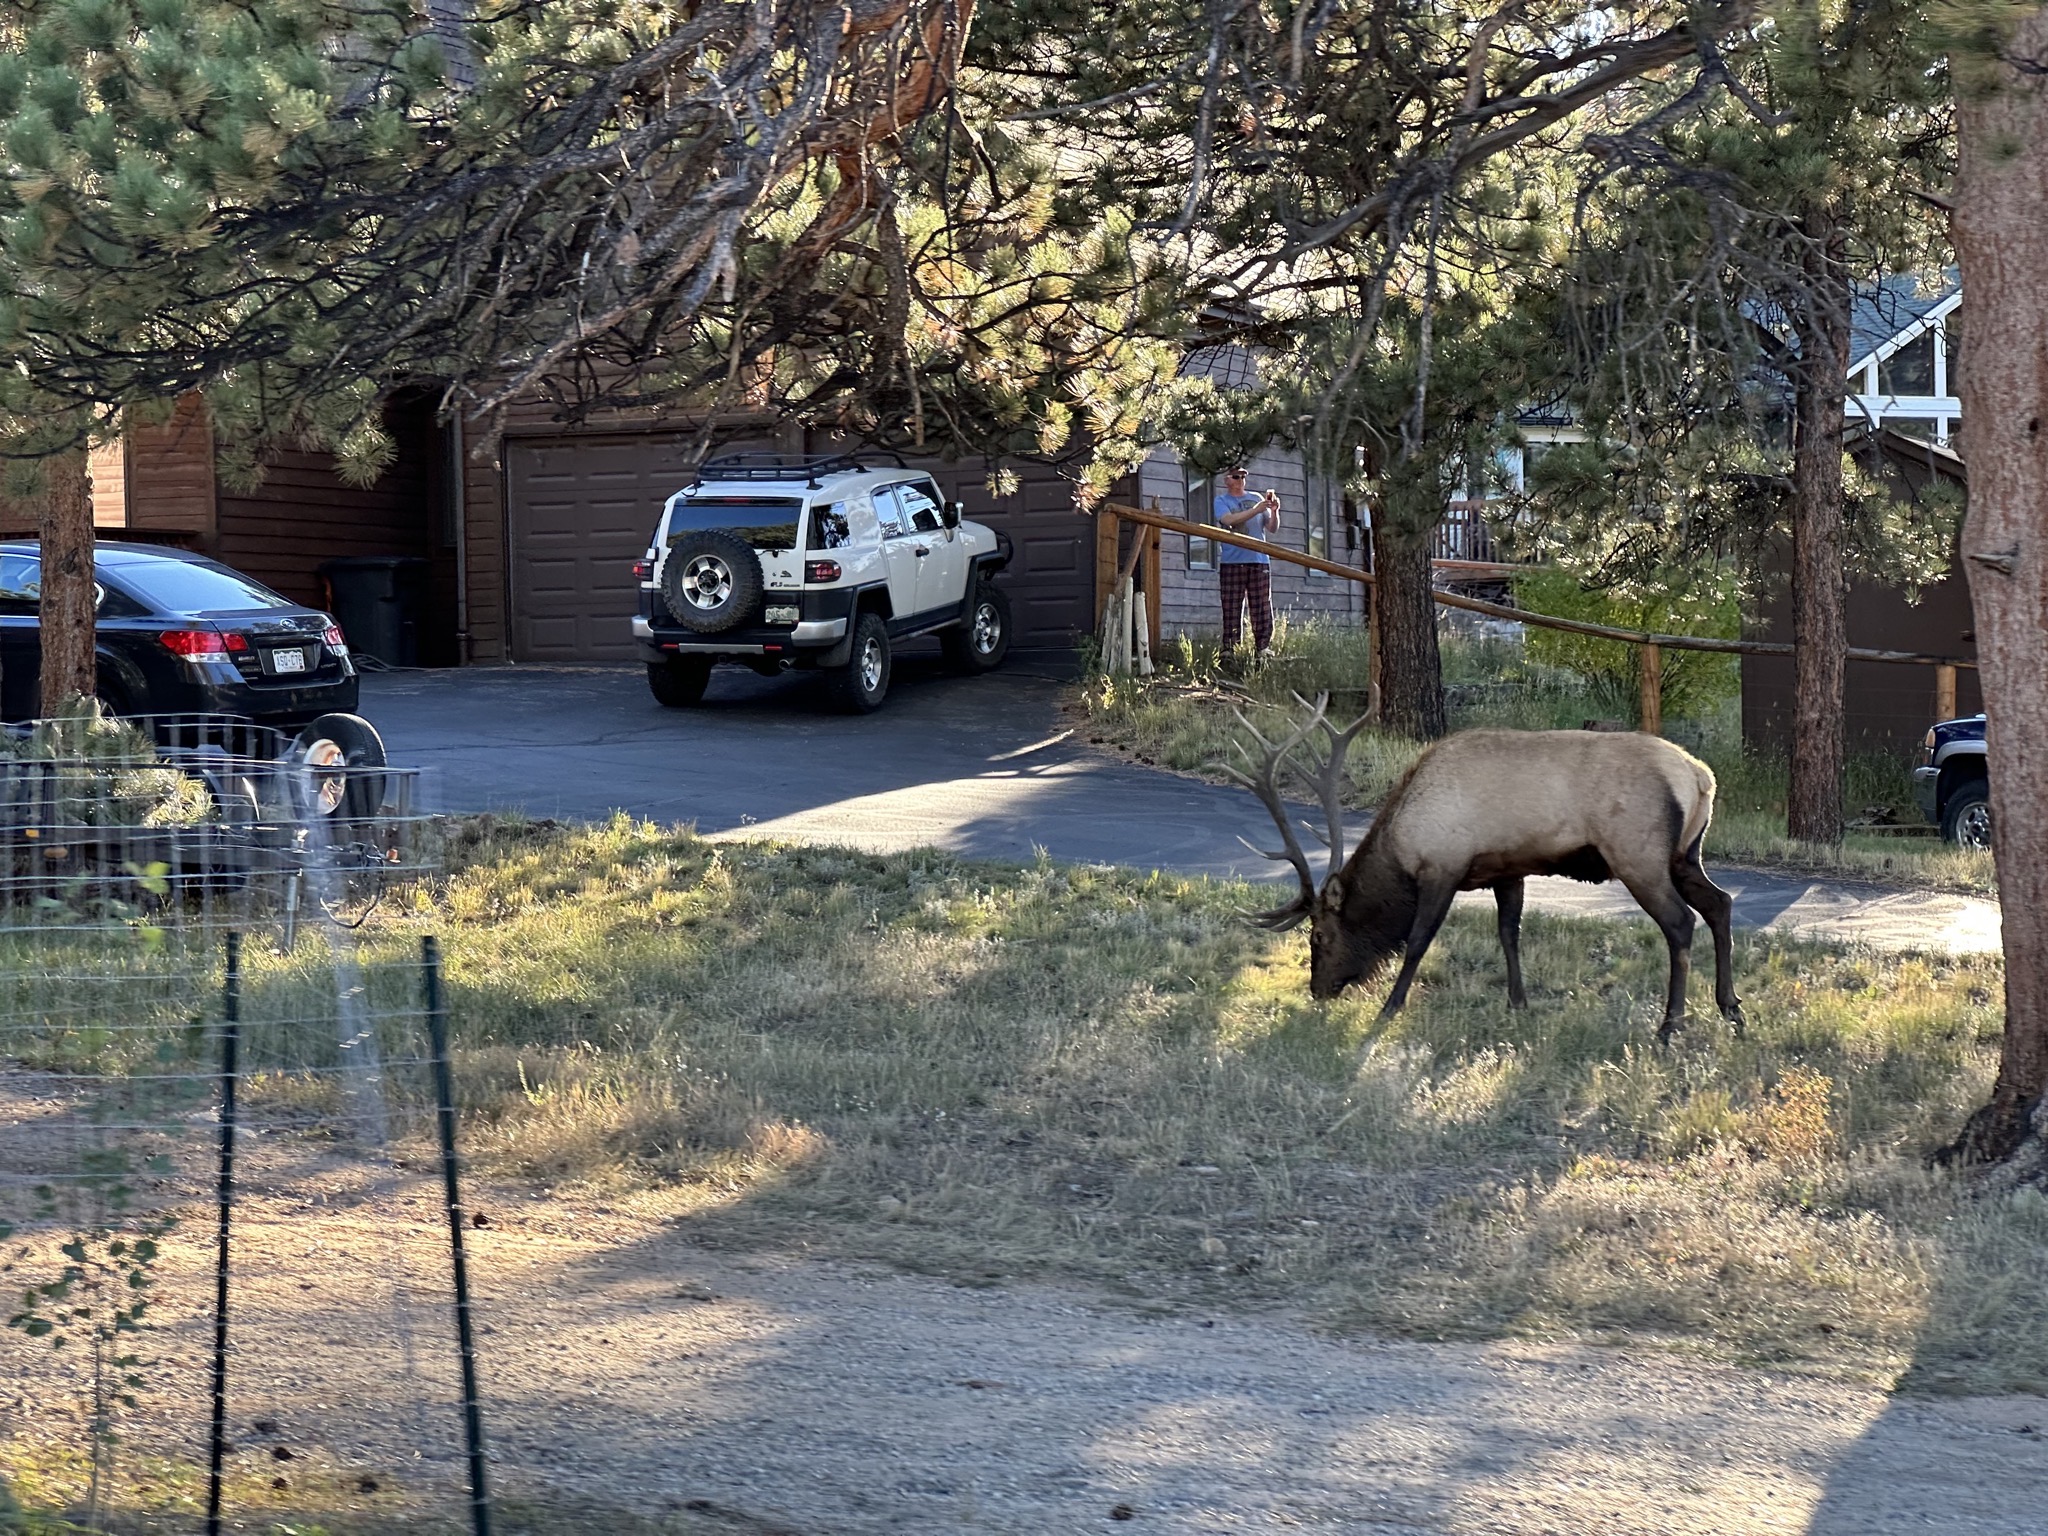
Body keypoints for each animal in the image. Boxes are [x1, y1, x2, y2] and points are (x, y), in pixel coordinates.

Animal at [1223, 696, 1743, 1042]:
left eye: (1319, 935)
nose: (1318, 990)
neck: (1402, 844)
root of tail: (1701, 778)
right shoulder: (1507, 870)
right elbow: (1509, 933)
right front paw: (1519, 1001)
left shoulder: (1442, 868)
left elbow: (1418, 940)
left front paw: (1389, 1009)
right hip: (1683, 855)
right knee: (1720, 903)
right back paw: (1730, 1008)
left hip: (1638, 853)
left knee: (1681, 922)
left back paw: (1670, 1026)